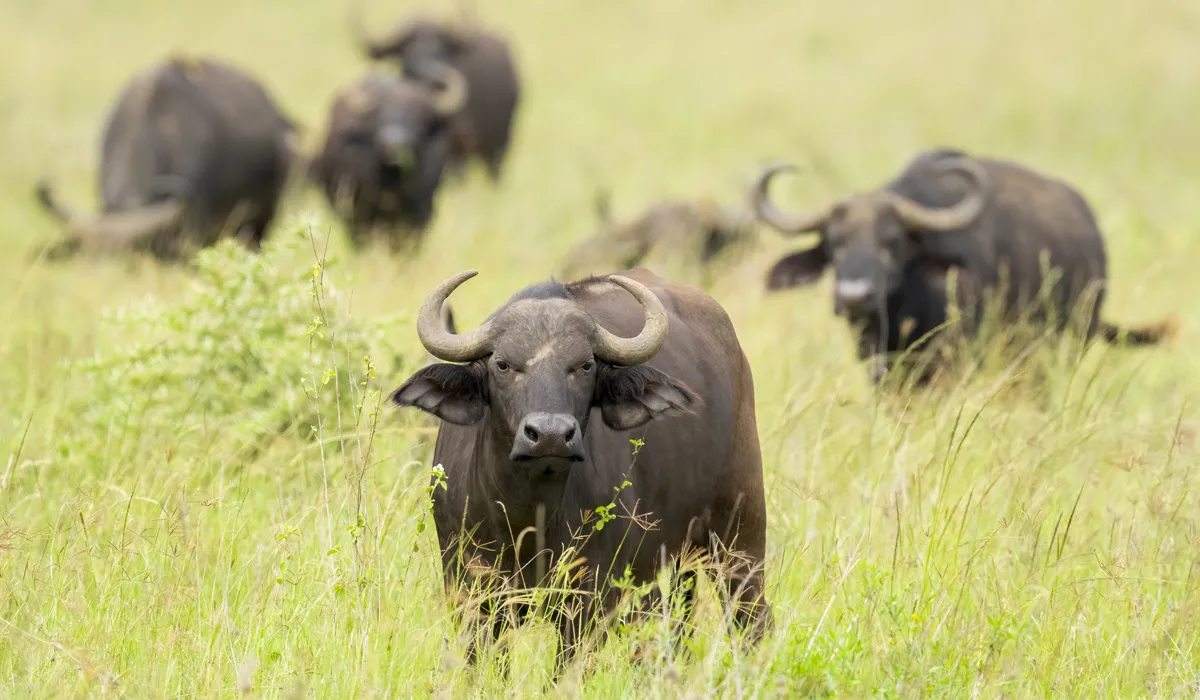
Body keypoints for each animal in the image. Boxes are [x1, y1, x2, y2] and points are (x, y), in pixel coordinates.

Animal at [309, 67, 466, 251]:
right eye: (378, 112)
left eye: (419, 114)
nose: (393, 143)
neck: (392, 183)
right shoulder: (358, 212)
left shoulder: (422, 211)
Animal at [390, 268, 772, 670]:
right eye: (503, 364)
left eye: (585, 366)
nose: (550, 435)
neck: (529, 515)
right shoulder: (474, 595)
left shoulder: (587, 602)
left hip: (739, 537)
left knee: (751, 618)